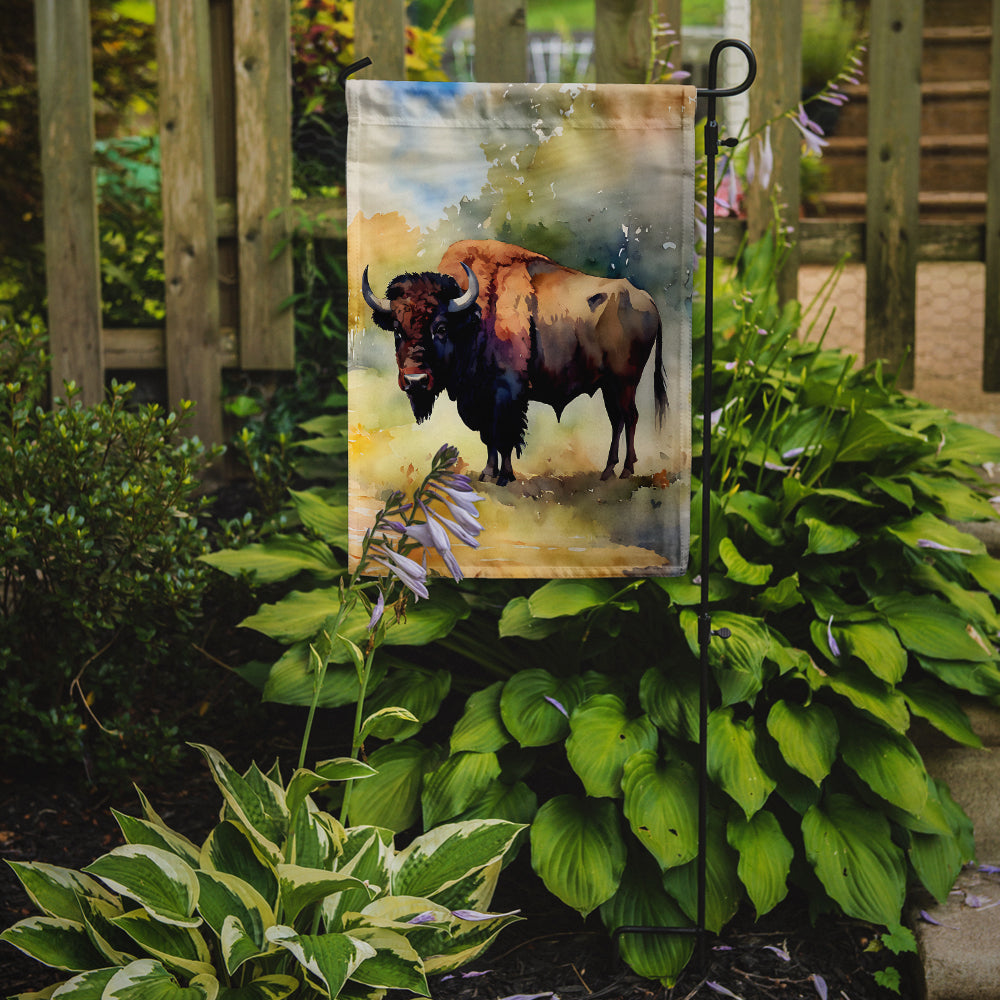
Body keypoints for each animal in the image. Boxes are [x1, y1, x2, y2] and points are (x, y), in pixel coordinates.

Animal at [360, 235, 664, 484]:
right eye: (397, 329)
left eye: (442, 328)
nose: (415, 380)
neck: (475, 316)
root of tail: (646, 299)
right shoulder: (481, 396)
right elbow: (489, 437)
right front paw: (488, 473)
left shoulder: (507, 393)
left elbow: (504, 435)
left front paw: (503, 476)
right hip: (609, 385)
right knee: (617, 419)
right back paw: (608, 471)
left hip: (625, 381)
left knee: (630, 417)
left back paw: (625, 471)